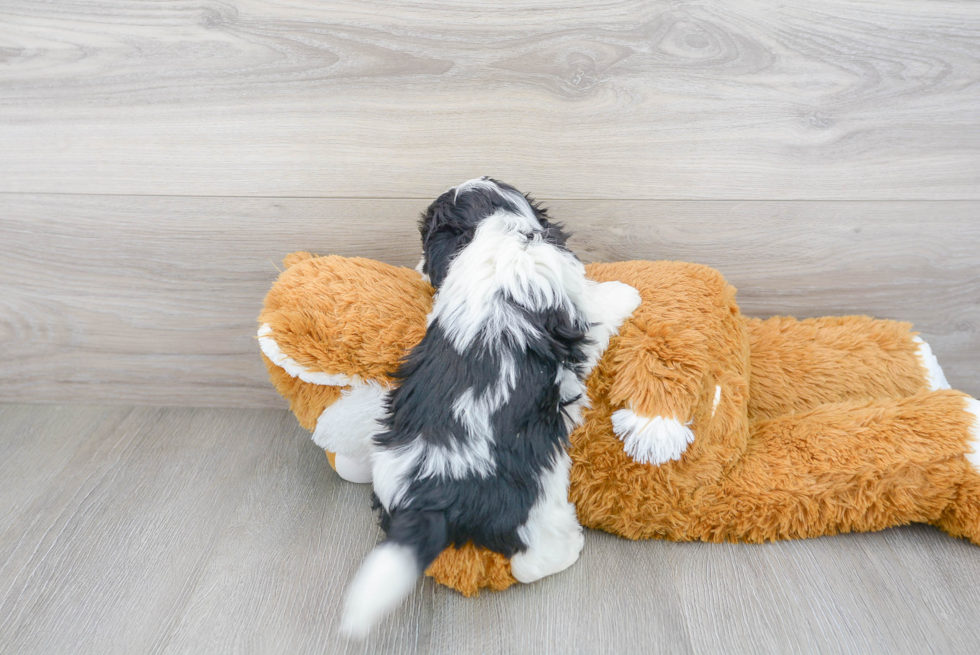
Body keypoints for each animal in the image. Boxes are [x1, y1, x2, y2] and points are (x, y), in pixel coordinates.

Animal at [338, 176, 644, 636]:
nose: (420, 266)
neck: (497, 231)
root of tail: (433, 494)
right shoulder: (578, 302)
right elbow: (603, 302)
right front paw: (628, 292)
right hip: (535, 500)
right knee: (532, 559)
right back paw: (570, 547)